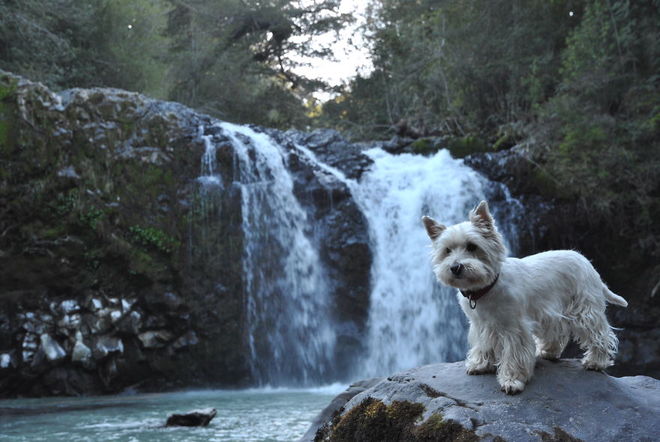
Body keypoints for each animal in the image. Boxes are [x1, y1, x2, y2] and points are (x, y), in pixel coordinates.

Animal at [422, 200, 628, 394]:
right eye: (447, 251)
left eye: (472, 246)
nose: (455, 267)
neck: (485, 288)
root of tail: (587, 262)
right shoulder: (481, 325)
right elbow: (483, 345)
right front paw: (480, 364)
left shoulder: (514, 328)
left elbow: (514, 355)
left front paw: (512, 381)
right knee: (557, 330)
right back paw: (548, 352)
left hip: (584, 308)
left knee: (599, 333)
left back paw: (596, 361)